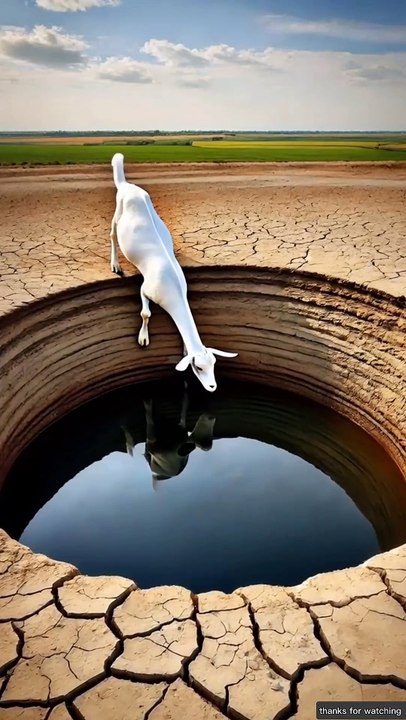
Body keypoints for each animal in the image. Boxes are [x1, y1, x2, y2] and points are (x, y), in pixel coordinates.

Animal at [109, 152, 237, 392]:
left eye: (214, 364)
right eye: (199, 367)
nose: (212, 387)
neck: (174, 292)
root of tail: (126, 185)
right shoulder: (146, 288)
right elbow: (146, 313)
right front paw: (143, 339)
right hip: (117, 212)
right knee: (112, 235)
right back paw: (115, 265)